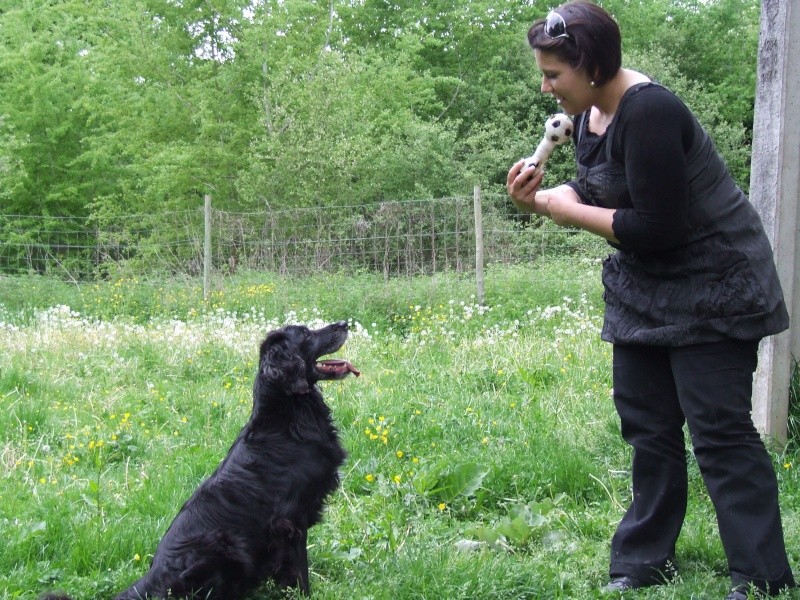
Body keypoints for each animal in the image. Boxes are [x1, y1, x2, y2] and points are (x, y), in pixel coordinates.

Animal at [43, 322, 356, 596]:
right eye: (305, 334)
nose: (344, 323)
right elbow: (299, 570)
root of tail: (151, 578)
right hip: (221, 548)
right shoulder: (290, 522)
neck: (287, 419)